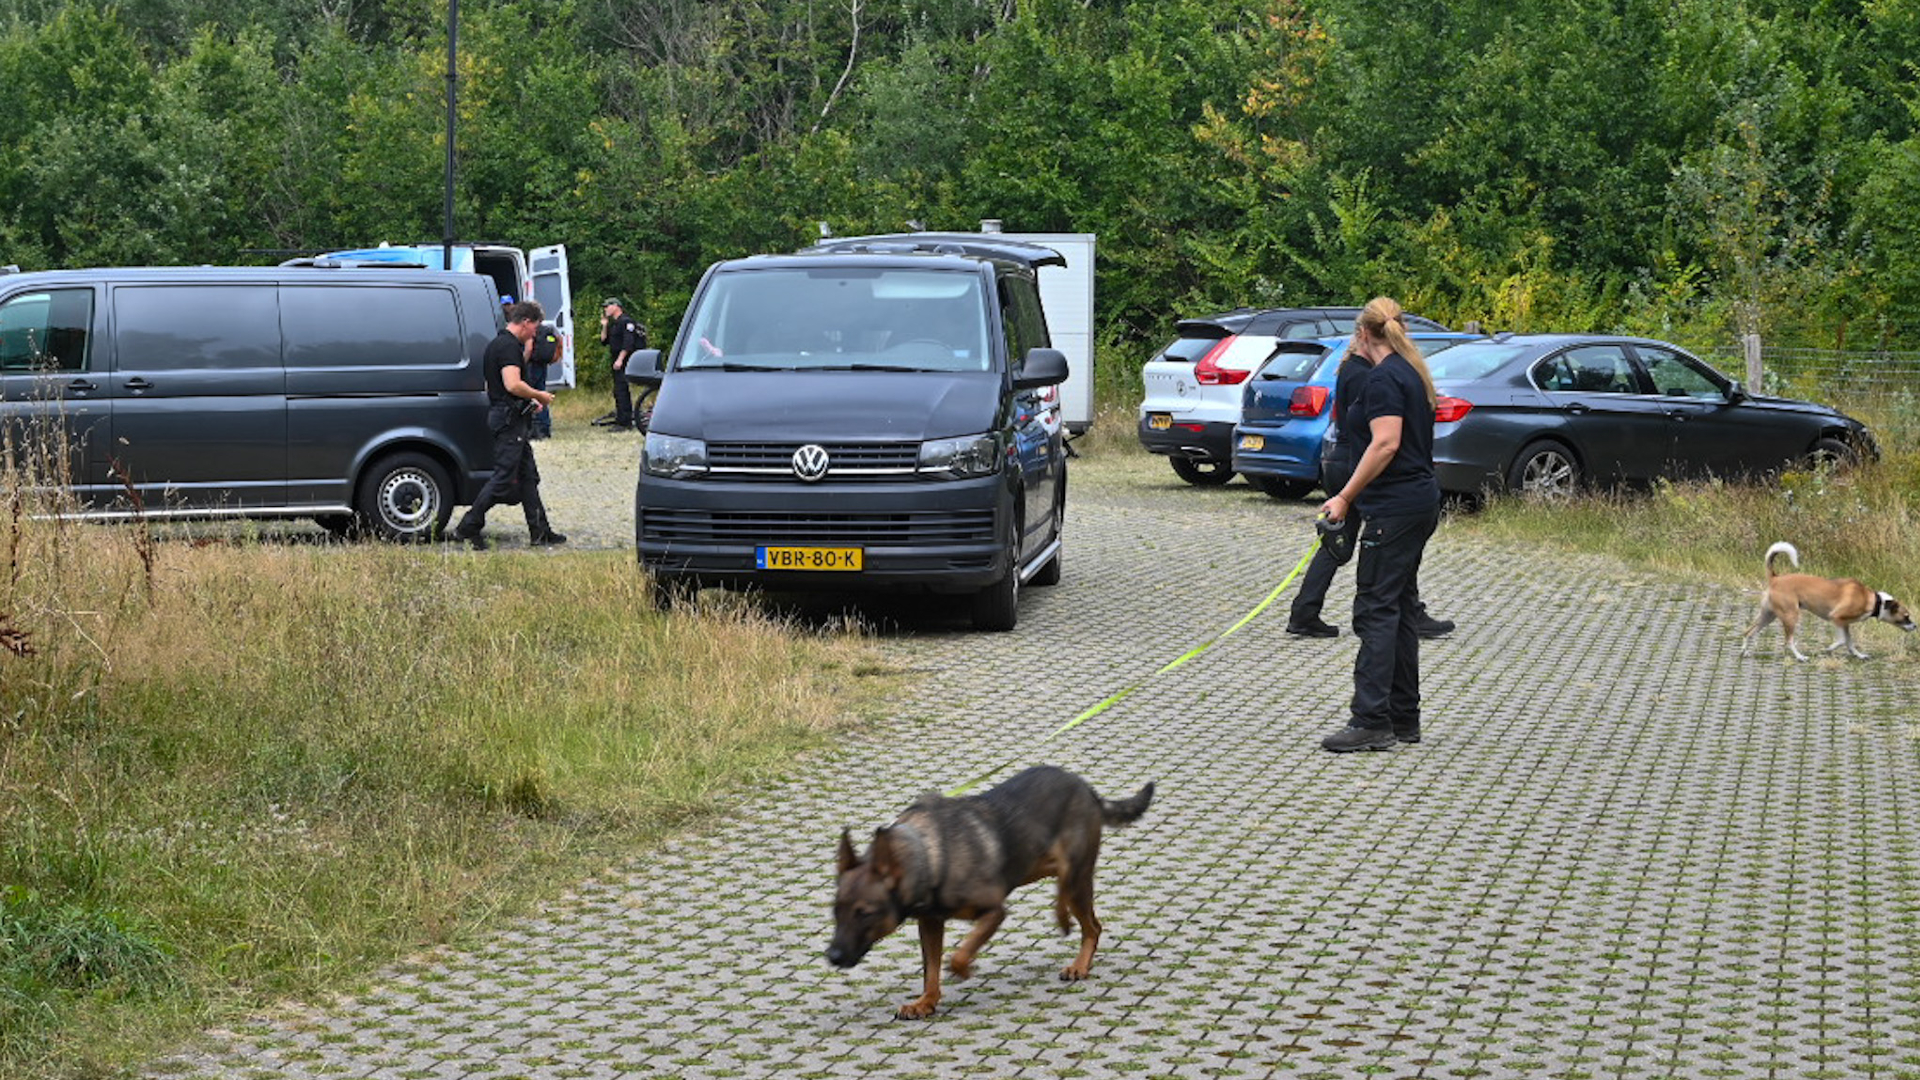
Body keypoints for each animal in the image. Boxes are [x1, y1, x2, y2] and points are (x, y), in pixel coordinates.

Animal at [829, 760, 1152, 1014]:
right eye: (835, 912)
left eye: (864, 913)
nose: (832, 956)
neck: (927, 854)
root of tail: (1087, 788)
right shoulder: (930, 924)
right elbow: (931, 969)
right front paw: (926, 1002)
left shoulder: (994, 912)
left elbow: (959, 954)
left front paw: (964, 969)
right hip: (1047, 868)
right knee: (1066, 894)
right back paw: (1062, 916)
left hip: (1077, 878)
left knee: (1092, 925)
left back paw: (1079, 962)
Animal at [1751, 538, 1912, 657]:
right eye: (1906, 616)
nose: (1915, 626)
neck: (1874, 600)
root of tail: (1775, 578)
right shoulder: (1836, 618)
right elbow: (1841, 641)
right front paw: (1829, 648)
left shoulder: (1845, 624)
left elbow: (1849, 642)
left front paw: (1859, 655)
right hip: (1790, 616)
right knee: (1788, 641)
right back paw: (1800, 657)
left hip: (1769, 615)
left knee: (1749, 631)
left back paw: (1745, 651)